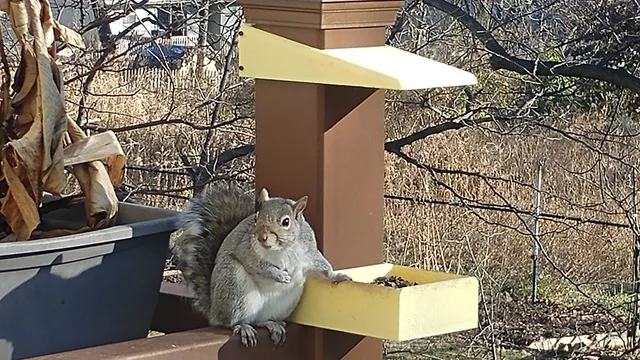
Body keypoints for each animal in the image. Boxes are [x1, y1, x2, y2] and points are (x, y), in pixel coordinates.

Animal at [170, 181, 350, 348]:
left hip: (286, 302)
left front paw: (337, 276)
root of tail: (213, 310)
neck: (282, 248)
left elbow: (322, 265)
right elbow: (257, 266)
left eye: (286, 222)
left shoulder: (309, 252)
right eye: (256, 218)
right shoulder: (246, 250)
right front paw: (280, 275)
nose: (261, 237)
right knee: (231, 322)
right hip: (235, 288)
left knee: (258, 321)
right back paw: (243, 327)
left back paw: (271, 323)